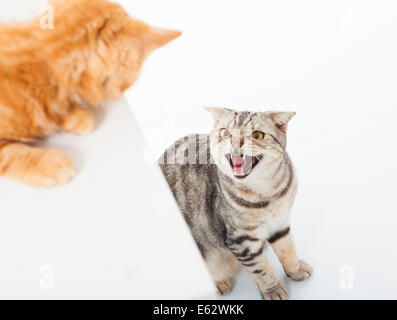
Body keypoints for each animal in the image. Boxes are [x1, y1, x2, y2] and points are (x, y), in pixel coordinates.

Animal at [159, 108, 312, 300]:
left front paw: (296, 270)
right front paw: (273, 290)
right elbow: (261, 270)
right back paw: (219, 283)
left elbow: (288, 250)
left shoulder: (281, 223)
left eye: (257, 135)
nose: (236, 144)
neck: (268, 192)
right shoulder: (240, 240)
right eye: (225, 133)